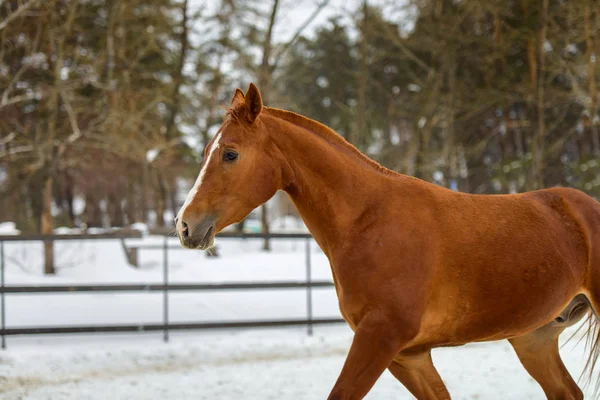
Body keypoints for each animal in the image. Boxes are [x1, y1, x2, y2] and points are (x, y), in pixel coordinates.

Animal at [177, 83, 600, 398]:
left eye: (230, 154)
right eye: (207, 151)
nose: (184, 226)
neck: (368, 222)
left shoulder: (380, 340)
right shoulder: (409, 356)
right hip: (533, 339)